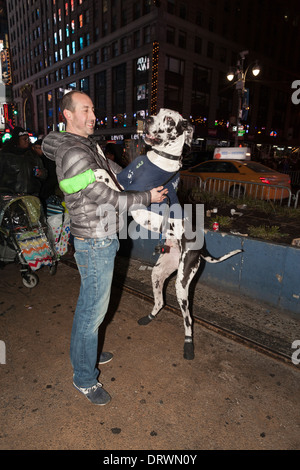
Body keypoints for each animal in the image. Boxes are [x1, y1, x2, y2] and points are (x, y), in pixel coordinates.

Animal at [94, 109, 241, 360]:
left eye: (170, 120)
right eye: (156, 112)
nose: (147, 119)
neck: (160, 158)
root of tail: (201, 249)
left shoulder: (126, 192)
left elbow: (107, 175)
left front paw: (96, 170)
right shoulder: (123, 177)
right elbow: (111, 166)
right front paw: (98, 147)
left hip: (182, 284)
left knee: (189, 319)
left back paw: (189, 345)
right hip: (159, 273)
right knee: (160, 301)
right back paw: (149, 317)